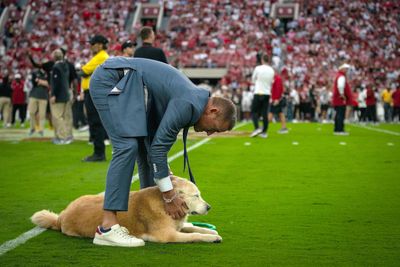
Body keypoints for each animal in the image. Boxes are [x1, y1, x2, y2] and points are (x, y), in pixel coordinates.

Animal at [30, 178, 222, 245]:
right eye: (196, 196)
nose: (209, 207)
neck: (164, 204)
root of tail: (61, 217)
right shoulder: (168, 235)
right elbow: (194, 235)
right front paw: (211, 237)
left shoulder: (178, 227)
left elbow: (194, 228)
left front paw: (211, 231)